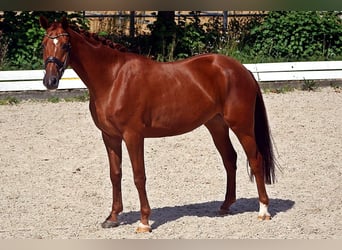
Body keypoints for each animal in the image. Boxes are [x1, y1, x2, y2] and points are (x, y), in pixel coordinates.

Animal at [40, 17, 276, 232]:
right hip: (216, 125)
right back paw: (226, 206)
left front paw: (144, 222)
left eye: (65, 45)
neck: (113, 79)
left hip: (242, 126)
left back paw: (263, 210)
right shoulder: (110, 136)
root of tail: (242, 70)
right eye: (44, 44)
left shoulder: (133, 136)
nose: (50, 82)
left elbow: (139, 176)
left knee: (255, 160)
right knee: (230, 159)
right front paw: (112, 218)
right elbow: (115, 175)